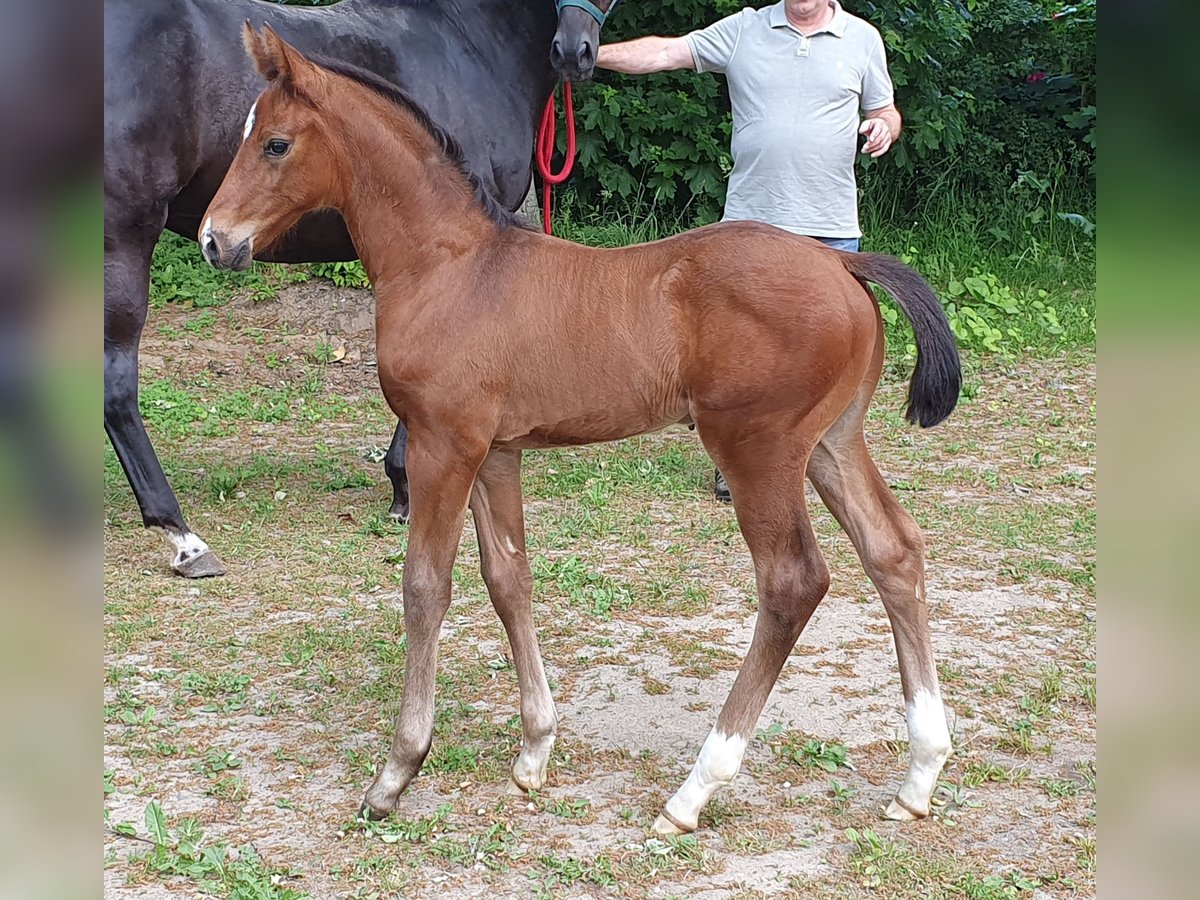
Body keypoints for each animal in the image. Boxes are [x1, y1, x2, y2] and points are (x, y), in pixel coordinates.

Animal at [103, 0, 556, 578]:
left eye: (275, 144)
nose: (578, 48)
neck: (473, 39)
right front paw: (405, 488)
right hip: (123, 239)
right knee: (116, 388)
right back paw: (183, 536)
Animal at [201, 24, 960, 835]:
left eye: (275, 143)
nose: (214, 239)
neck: (449, 267)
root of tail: (842, 265)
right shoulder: (494, 452)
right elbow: (508, 578)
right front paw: (534, 751)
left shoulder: (442, 446)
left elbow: (425, 587)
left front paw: (397, 771)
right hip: (831, 442)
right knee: (894, 552)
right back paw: (919, 775)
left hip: (757, 448)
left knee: (792, 581)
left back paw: (694, 791)